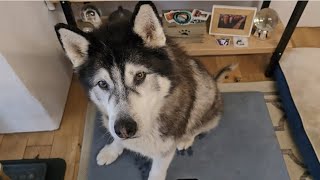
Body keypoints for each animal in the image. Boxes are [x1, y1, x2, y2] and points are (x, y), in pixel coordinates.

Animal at [54, 1, 235, 180]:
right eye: (102, 84)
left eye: (139, 75)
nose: (124, 129)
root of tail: (214, 82)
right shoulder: (112, 122)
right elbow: (117, 139)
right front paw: (112, 150)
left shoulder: (165, 149)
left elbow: (157, 171)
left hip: (205, 97)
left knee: (198, 126)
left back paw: (186, 139)